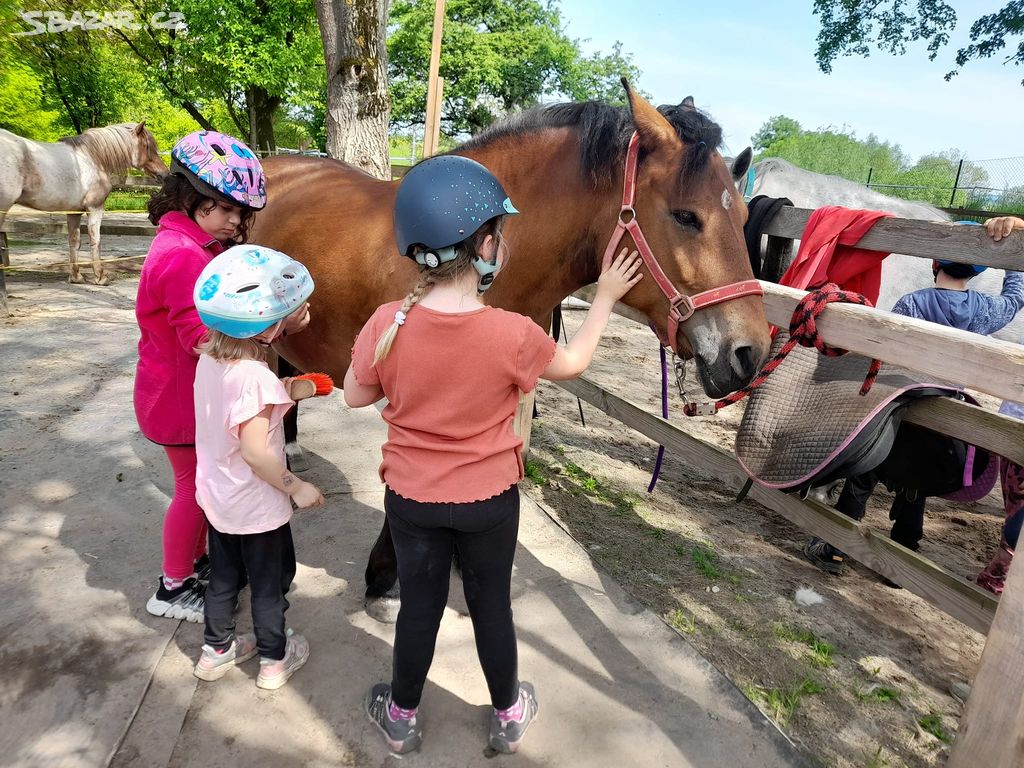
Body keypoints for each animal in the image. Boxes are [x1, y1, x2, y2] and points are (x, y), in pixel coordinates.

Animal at [0, 123, 166, 286]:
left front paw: (76, 277)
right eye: (147, 146)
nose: (164, 174)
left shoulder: (74, 212)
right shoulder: (95, 209)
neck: (94, 157)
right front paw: (100, 277)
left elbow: (74, 241)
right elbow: (95, 240)